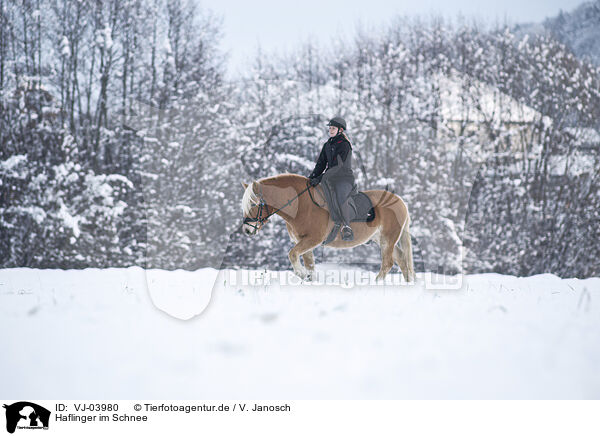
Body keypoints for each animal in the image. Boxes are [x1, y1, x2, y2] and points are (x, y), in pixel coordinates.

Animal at [241, 174, 414, 282]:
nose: (247, 230)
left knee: (388, 263)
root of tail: (399, 201)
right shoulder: (303, 242)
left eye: (254, 204)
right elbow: (309, 265)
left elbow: (292, 254)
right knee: (401, 259)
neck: (301, 204)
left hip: (387, 239)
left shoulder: (313, 239)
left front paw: (301, 274)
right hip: (383, 239)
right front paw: (309, 279)